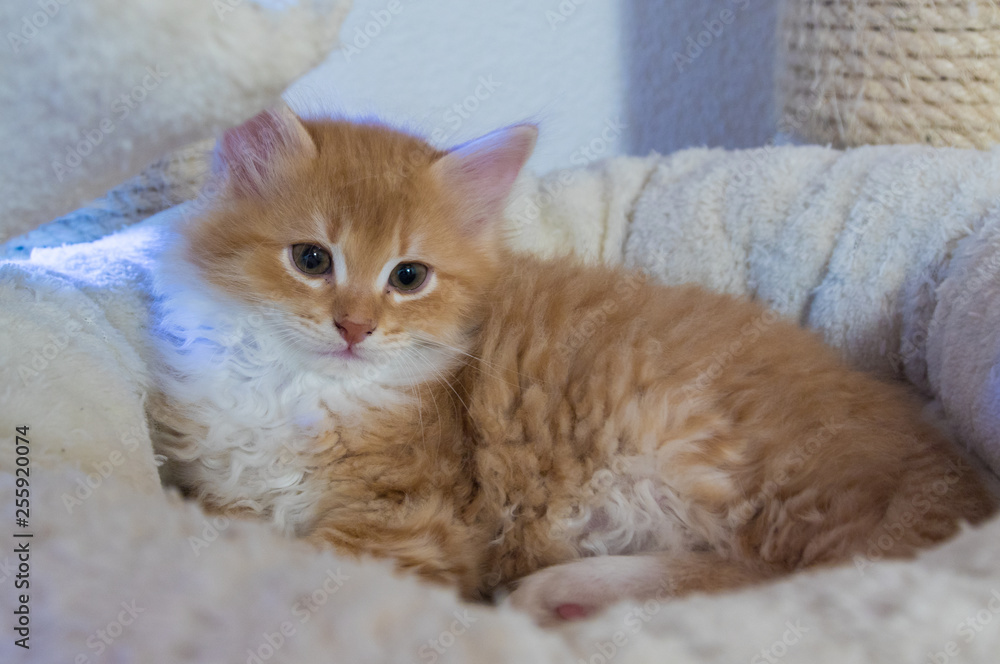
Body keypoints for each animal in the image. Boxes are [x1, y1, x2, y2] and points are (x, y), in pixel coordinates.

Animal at [150, 106, 1000, 624]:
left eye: (408, 277)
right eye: (311, 259)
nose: (354, 327)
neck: (300, 389)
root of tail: (941, 463)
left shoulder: (413, 522)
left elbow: (300, 568)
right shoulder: (222, 478)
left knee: (785, 583)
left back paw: (565, 593)